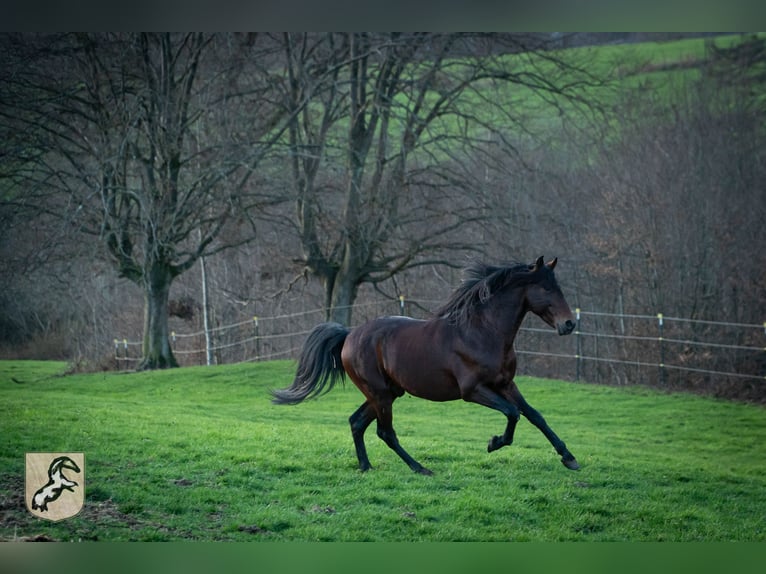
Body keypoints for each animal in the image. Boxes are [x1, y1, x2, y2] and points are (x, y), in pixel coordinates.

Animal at [272, 256, 580, 475]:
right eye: (546, 288)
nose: (569, 324)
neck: (482, 332)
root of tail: (348, 335)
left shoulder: (505, 384)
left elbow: (534, 415)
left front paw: (569, 457)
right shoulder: (473, 391)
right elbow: (513, 413)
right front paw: (494, 443)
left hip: (386, 393)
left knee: (356, 422)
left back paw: (366, 466)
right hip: (381, 394)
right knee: (385, 432)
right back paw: (420, 468)